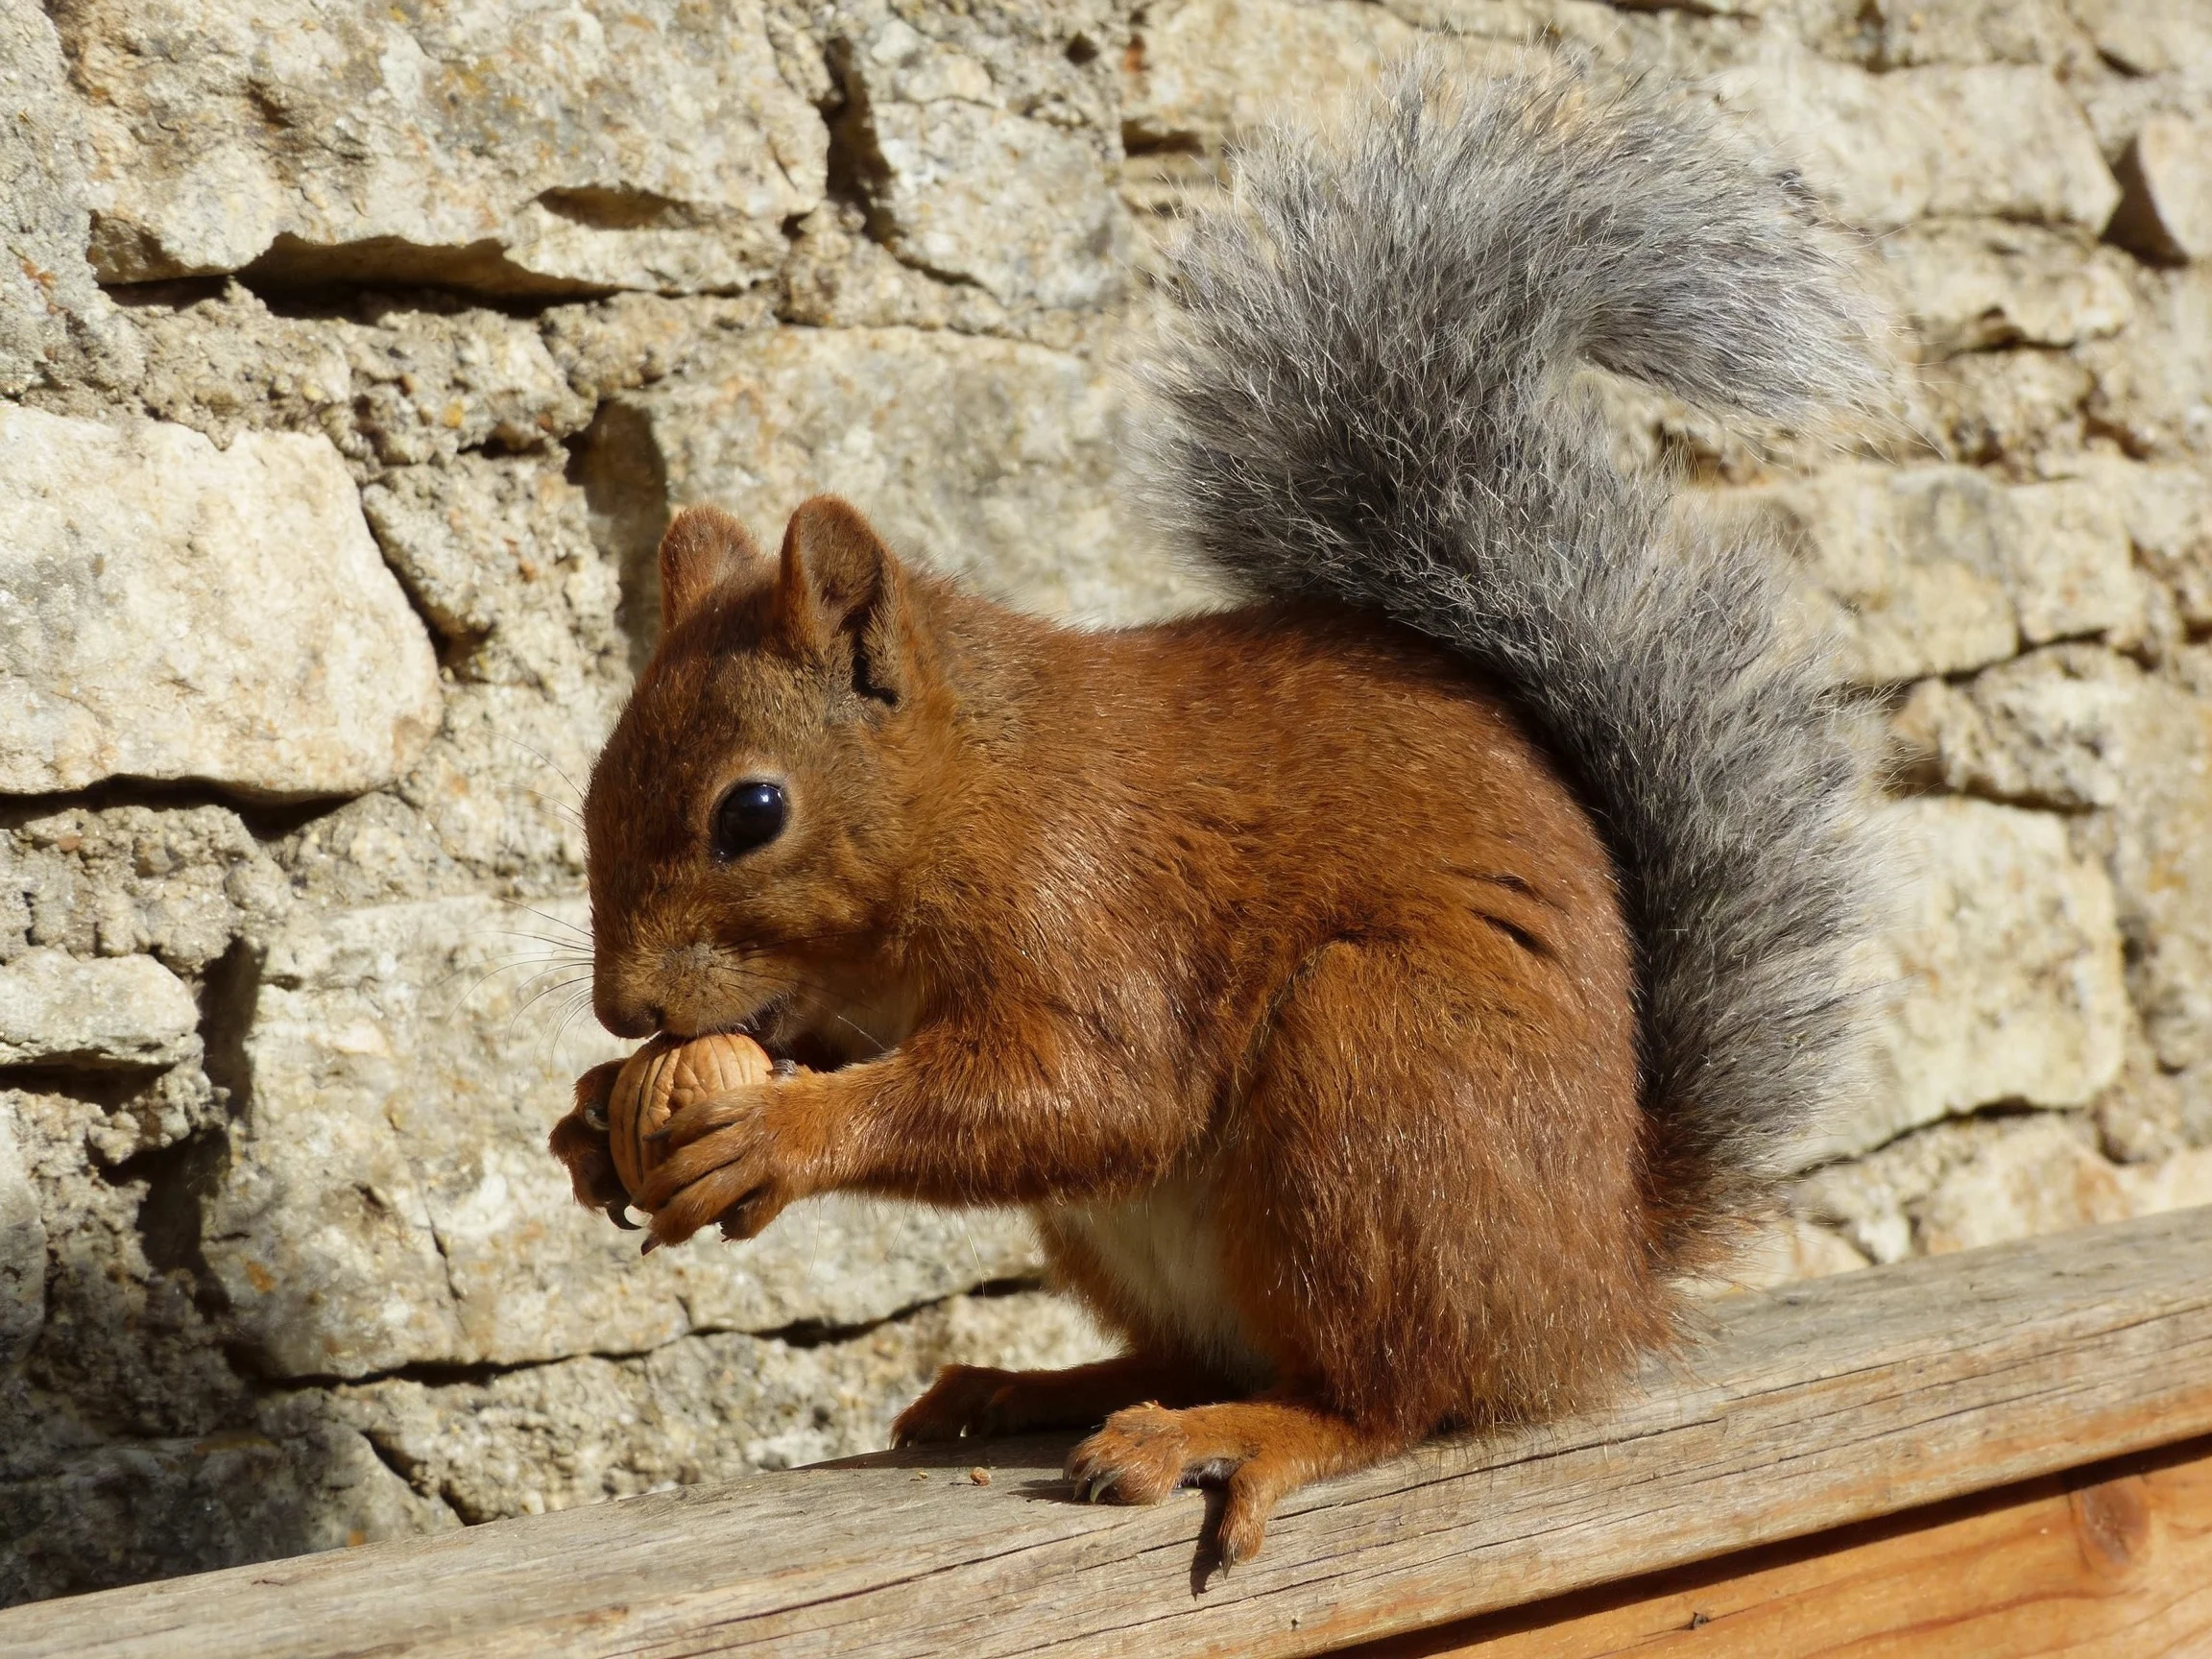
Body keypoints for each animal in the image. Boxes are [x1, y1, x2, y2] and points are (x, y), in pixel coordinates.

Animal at [549, 58, 1884, 1569]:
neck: (978, 790)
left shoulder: (1094, 907)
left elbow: (1090, 1091)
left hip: (1380, 1079)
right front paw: (595, 1116)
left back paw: (1243, 1434)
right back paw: (1034, 1383)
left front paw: (775, 1134)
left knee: (1391, 1396)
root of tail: (1598, 1290)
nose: (619, 1007)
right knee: (1199, 1351)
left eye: (752, 812)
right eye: (595, 782)